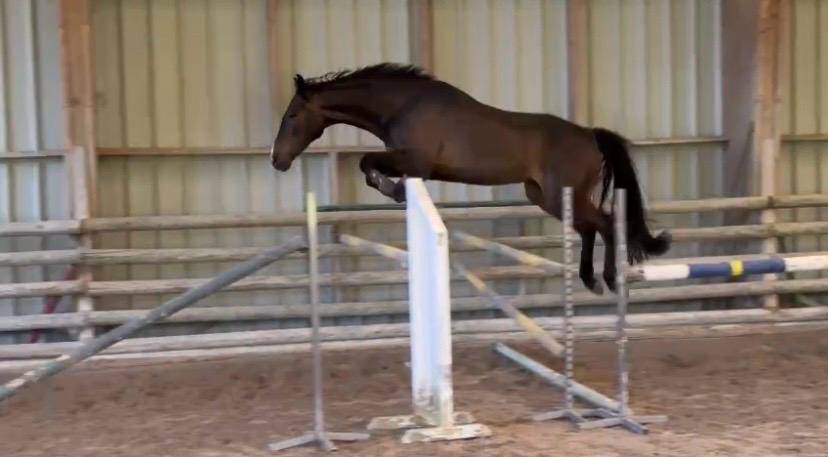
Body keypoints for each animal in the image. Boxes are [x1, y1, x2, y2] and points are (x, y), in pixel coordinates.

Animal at [269, 63, 670, 294]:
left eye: (292, 116)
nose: (277, 160)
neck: (403, 105)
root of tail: (589, 135)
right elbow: (368, 166)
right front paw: (395, 191)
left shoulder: (415, 162)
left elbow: (368, 163)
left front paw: (394, 190)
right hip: (544, 196)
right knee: (589, 228)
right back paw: (590, 279)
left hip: (562, 193)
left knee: (605, 223)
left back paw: (609, 280)